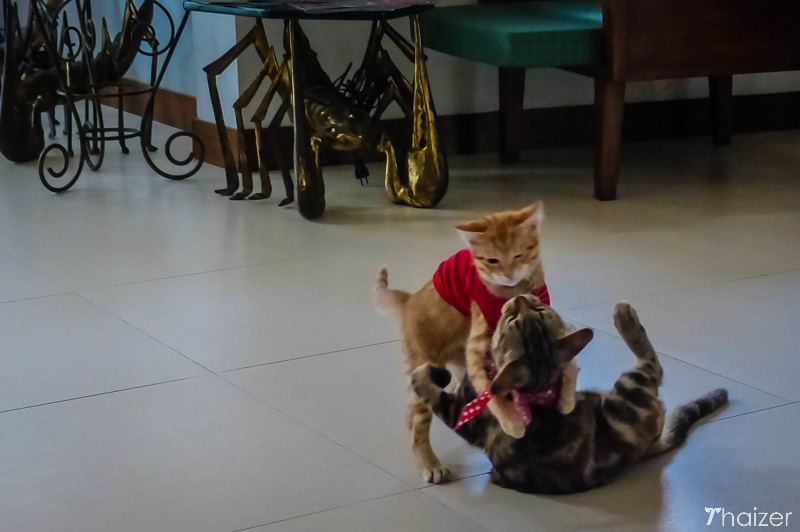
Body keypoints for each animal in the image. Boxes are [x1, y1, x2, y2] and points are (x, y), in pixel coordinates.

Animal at [376, 203, 552, 482]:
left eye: (519, 255)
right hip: (426, 363)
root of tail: (410, 300)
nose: (508, 273)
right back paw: (431, 464)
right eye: (492, 260)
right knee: (416, 423)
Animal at [410, 298, 728, 492]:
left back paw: (624, 316)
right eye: (514, 318)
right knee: (652, 367)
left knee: (652, 363)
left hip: (627, 390)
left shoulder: (465, 415)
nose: (520, 298)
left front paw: (429, 373)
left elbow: (436, 386)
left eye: (537, 311)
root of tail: (645, 449)